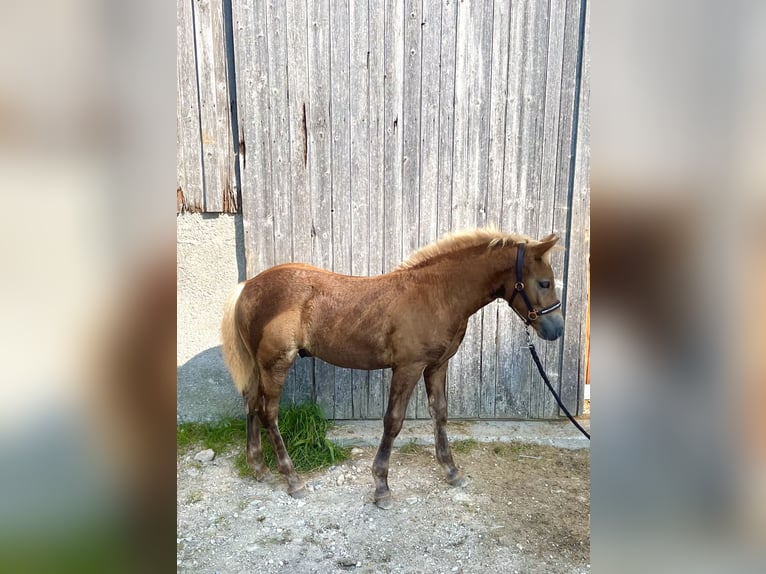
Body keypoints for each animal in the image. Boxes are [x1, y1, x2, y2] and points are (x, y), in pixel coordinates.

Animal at [219, 228, 568, 508]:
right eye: (544, 282)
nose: (556, 329)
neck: (437, 293)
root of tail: (248, 285)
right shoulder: (408, 367)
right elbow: (393, 422)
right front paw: (381, 487)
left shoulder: (436, 366)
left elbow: (440, 413)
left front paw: (451, 471)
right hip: (276, 363)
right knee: (269, 413)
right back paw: (291, 479)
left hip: (259, 366)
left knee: (251, 404)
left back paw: (258, 467)